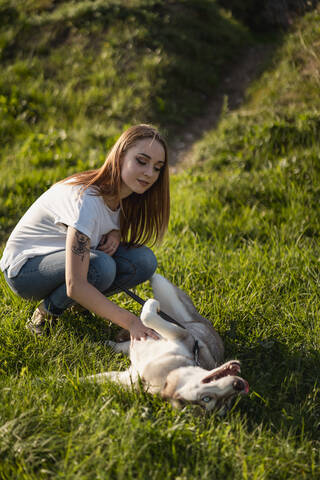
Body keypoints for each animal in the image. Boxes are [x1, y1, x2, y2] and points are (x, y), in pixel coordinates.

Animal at [87, 274, 250, 412]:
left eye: (207, 399)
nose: (240, 385)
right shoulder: (181, 334)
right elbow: (148, 316)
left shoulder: (130, 377)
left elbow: (147, 317)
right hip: (167, 292)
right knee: (155, 276)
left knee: (124, 345)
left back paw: (104, 345)